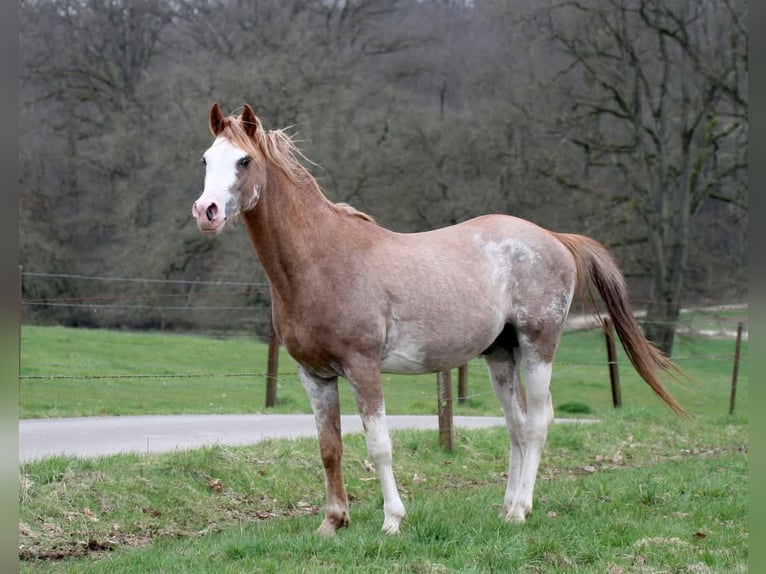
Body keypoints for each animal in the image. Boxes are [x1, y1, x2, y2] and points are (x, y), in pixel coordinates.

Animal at [194, 104, 688, 540]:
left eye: (244, 160)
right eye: (205, 159)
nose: (206, 211)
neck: (320, 260)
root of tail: (555, 239)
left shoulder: (362, 367)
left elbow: (379, 447)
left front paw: (393, 520)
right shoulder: (314, 375)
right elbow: (329, 448)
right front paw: (333, 523)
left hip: (538, 348)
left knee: (537, 424)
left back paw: (521, 511)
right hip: (501, 355)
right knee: (516, 427)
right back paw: (506, 508)